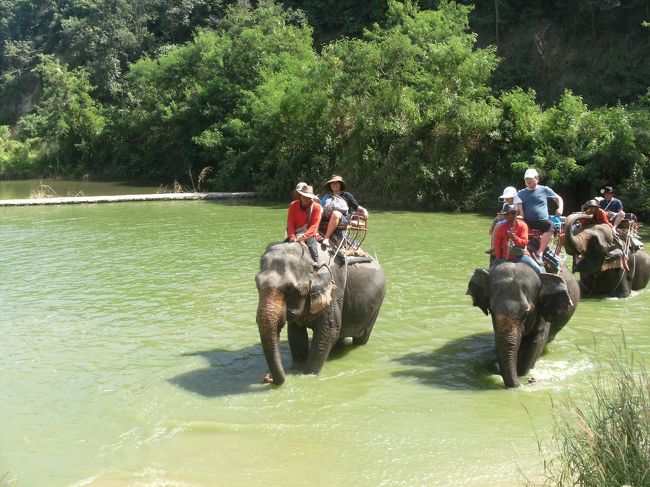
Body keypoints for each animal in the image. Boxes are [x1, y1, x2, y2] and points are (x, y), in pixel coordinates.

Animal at [253, 241, 384, 386]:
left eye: (290, 289)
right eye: (257, 284)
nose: (267, 377)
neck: (310, 257)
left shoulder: (334, 290)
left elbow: (329, 330)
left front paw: (307, 375)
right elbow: (295, 333)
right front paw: (296, 369)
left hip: (375, 307)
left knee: (360, 338)